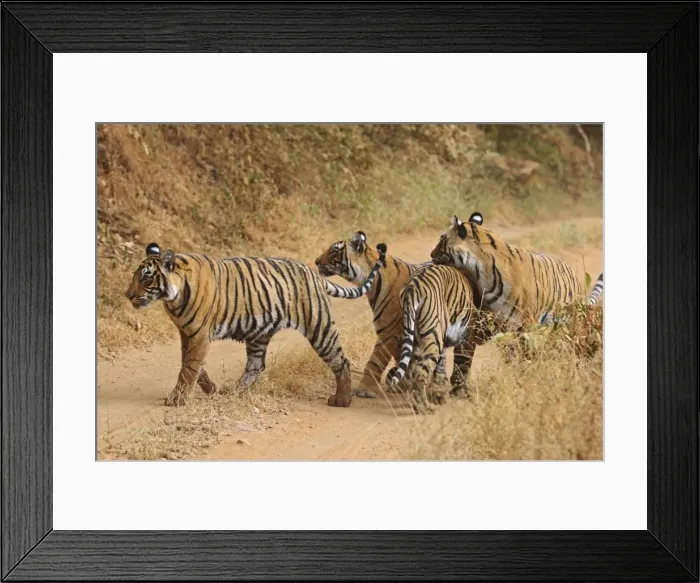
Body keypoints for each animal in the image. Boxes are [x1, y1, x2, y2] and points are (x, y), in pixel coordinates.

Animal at [125, 241, 387, 408]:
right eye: (135, 275)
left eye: (146, 277)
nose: (128, 295)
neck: (173, 298)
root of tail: (315, 275)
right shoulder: (186, 333)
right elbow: (192, 366)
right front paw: (210, 388)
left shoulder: (199, 335)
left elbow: (188, 368)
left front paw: (177, 400)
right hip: (259, 333)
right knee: (256, 365)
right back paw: (233, 391)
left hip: (319, 327)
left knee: (341, 361)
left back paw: (342, 400)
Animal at [315, 231, 474, 399]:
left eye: (333, 250)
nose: (316, 261)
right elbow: (398, 359)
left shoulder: (389, 330)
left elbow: (378, 360)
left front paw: (366, 389)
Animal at [387, 264, 482, 414]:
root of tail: (412, 287)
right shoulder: (465, 336)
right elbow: (460, 362)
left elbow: (441, 363)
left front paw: (439, 392)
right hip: (433, 335)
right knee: (420, 371)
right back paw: (423, 408)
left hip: (414, 333)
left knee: (410, 369)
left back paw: (413, 402)